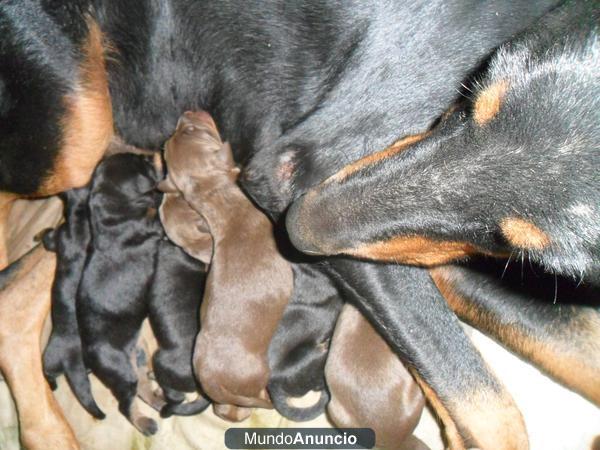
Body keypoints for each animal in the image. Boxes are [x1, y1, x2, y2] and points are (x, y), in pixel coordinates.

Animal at [41, 185, 104, 418]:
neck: (81, 217)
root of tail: (72, 358)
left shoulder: (59, 236)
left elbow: (49, 239)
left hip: (48, 357)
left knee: (48, 373)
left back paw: (52, 386)